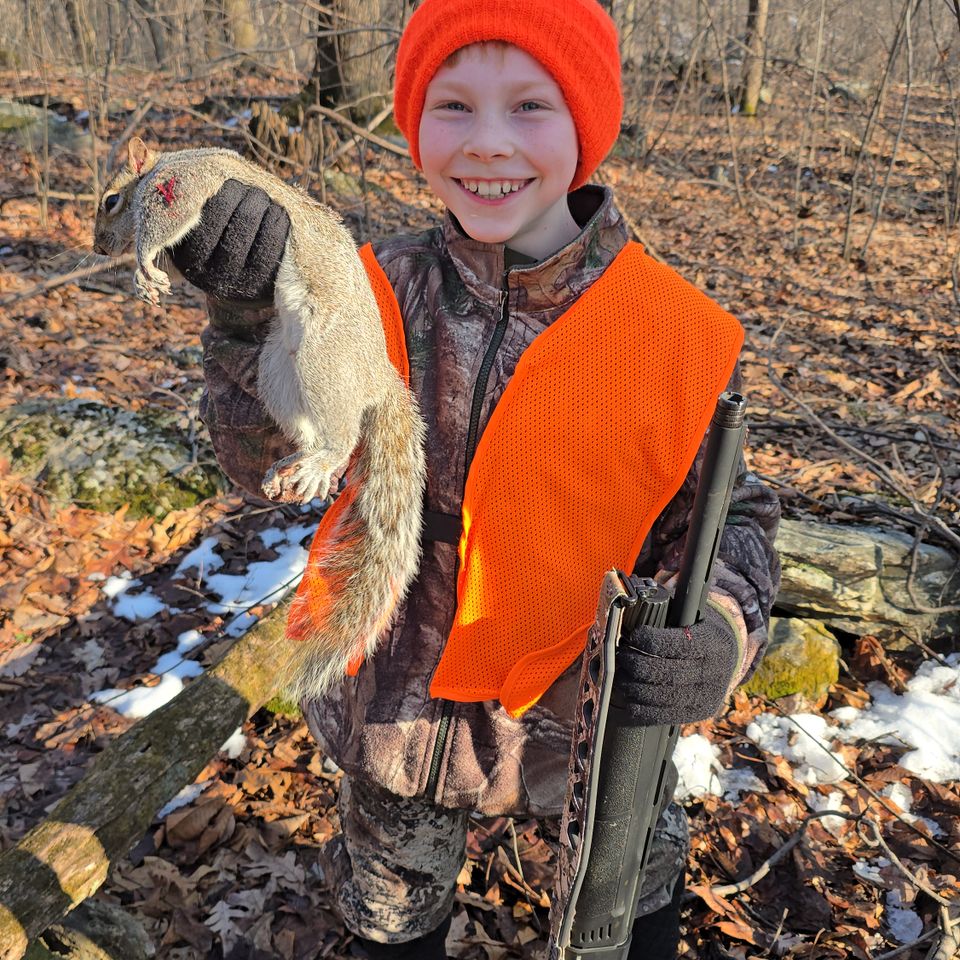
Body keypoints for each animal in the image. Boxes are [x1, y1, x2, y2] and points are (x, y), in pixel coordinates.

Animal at [93, 137, 427, 699]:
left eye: (110, 200)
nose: (97, 248)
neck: (163, 164)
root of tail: (378, 377)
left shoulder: (184, 183)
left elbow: (167, 217)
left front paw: (143, 268)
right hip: (277, 371)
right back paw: (297, 468)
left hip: (322, 357)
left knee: (343, 434)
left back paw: (321, 462)